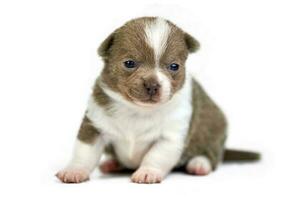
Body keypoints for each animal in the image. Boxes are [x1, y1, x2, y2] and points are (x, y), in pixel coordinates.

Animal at [56, 16, 260, 184]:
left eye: (174, 66)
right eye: (129, 63)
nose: (152, 85)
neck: (137, 109)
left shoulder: (170, 138)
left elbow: (156, 156)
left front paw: (148, 172)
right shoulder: (94, 126)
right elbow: (84, 152)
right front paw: (75, 170)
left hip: (213, 129)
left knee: (211, 155)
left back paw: (199, 164)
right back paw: (112, 164)